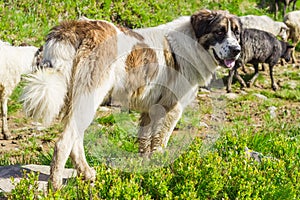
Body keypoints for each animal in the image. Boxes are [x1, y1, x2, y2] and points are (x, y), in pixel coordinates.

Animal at [21, 9, 241, 188]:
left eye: (237, 33)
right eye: (220, 31)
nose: (236, 50)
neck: (193, 42)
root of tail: (76, 27)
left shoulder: (149, 111)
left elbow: (145, 144)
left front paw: (147, 170)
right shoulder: (171, 108)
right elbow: (160, 143)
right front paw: (161, 169)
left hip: (78, 101)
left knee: (75, 138)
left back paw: (86, 174)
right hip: (90, 97)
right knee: (63, 143)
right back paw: (56, 185)